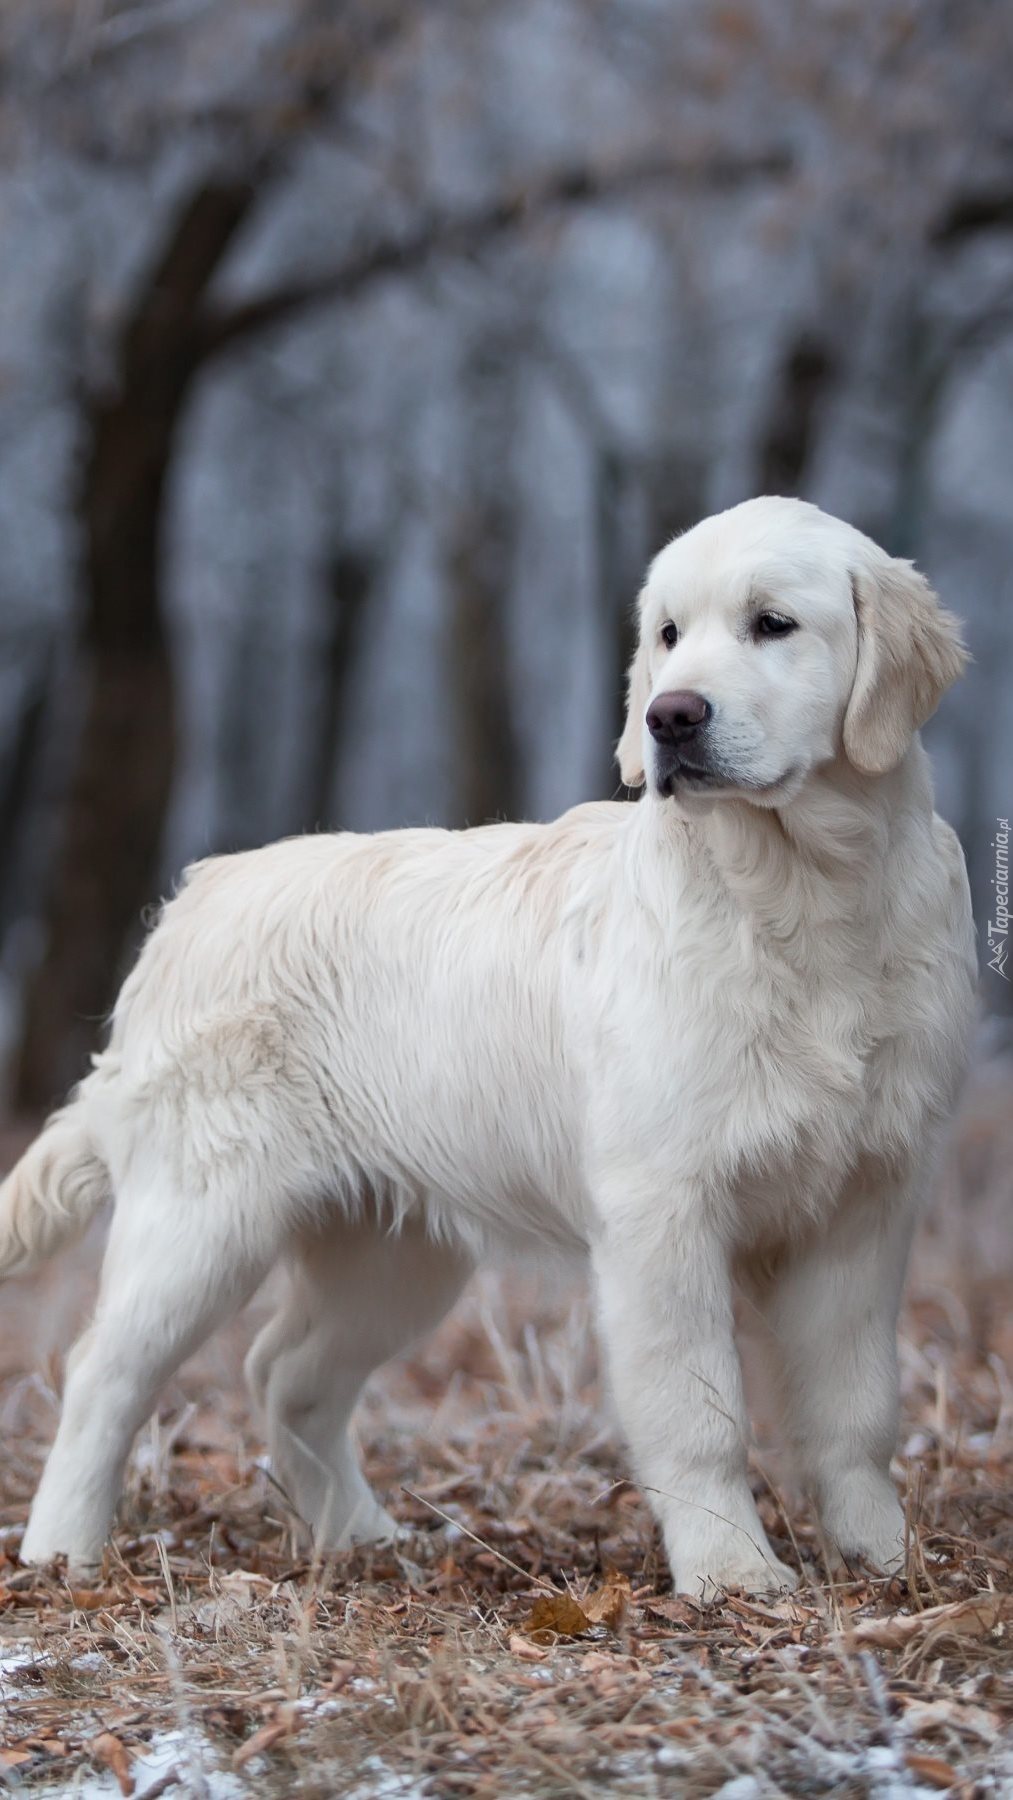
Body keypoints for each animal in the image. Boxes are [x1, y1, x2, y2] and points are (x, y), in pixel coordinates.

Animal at [1, 493, 986, 1591]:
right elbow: (698, 1411)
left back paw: (358, 1534)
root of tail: (188, 902)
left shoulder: (867, 1202)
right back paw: (62, 1551)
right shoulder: (661, 1210)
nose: (669, 717)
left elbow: (855, 1408)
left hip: (390, 1249)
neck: (802, 897)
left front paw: (883, 1559)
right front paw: (731, 1575)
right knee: (103, 1370)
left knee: (287, 1373)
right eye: (667, 635)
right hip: (200, 1217)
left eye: (772, 624)